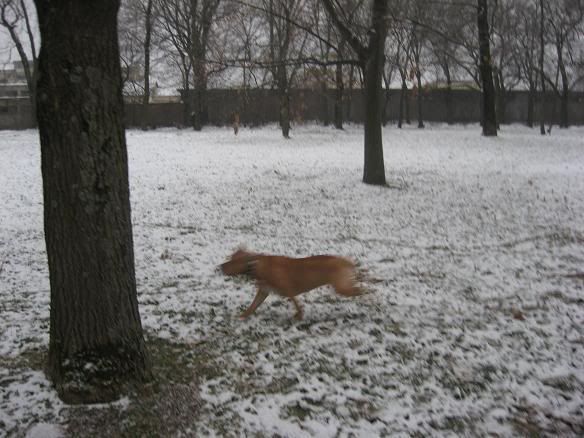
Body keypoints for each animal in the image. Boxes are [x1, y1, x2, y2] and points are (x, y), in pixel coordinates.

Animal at [221, 250, 362, 318]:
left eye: (232, 261)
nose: (220, 266)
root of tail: (347, 262)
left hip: (341, 287)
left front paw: (299, 316)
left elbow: (297, 305)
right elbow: (252, 307)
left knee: (362, 290)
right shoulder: (263, 291)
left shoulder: (288, 290)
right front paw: (242, 316)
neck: (257, 265)